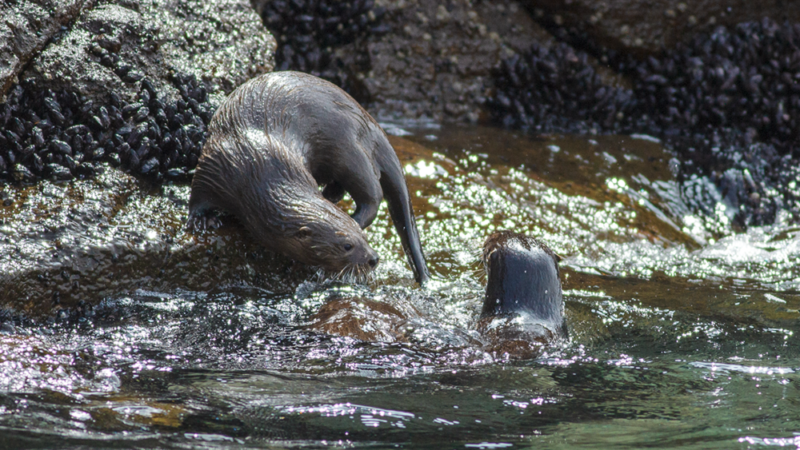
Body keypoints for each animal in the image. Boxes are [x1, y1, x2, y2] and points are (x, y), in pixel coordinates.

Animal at [188, 71, 430, 283]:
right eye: (347, 245)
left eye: (365, 239)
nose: (373, 259)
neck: (257, 165)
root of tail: (371, 122)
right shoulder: (218, 162)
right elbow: (199, 190)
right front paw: (202, 219)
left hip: (349, 149)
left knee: (372, 194)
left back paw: (355, 216)